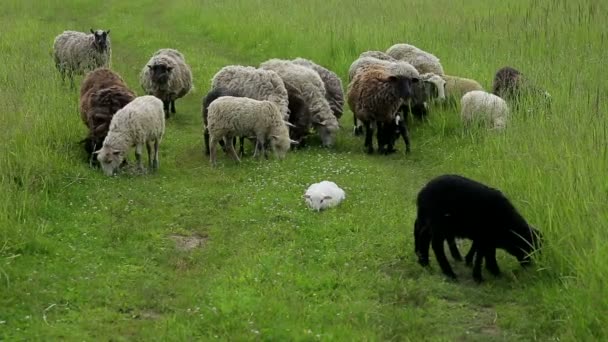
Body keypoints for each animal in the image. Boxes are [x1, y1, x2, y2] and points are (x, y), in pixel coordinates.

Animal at [416, 175, 544, 282]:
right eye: (528, 247)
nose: (530, 265)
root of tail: (423, 192)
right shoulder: (485, 237)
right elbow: (482, 255)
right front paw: (482, 276)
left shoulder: (486, 238)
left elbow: (484, 252)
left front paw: (488, 269)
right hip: (439, 224)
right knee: (436, 245)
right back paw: (449, 273)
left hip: (427, 220)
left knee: (422, 235)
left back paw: (424, 263)